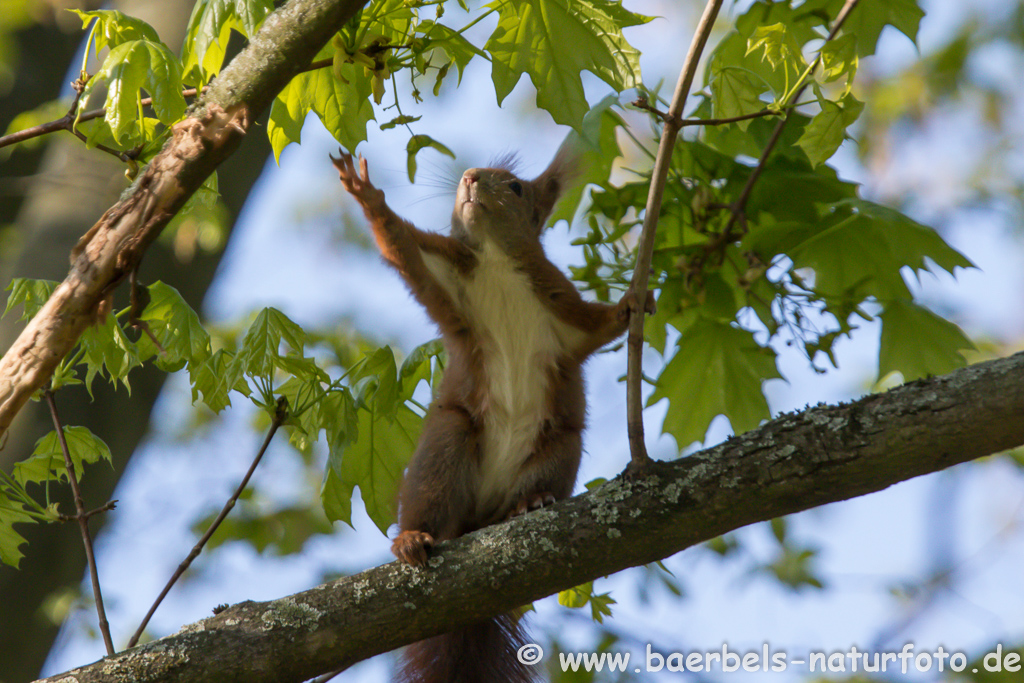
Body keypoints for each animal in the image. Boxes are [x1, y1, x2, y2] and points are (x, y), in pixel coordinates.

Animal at [331, 148, 651, 683]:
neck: (499, 264)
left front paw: (632, 302)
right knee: (433, 496)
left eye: (517, 187)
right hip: (449, 442)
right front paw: (367, 194)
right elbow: (401, 246)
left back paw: (530, 502)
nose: (468, 178)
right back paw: (413, 538)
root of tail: (477, 522)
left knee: (539, 476)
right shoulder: (442, 268)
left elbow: (597, 327)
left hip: (559, 446)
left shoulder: (558, 303)